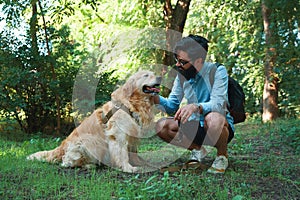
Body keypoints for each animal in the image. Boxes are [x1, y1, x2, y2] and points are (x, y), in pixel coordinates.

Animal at [27, 70, 161, 172]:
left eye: (153, 73)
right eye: (146, 75)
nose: (160, 77)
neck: (133, 104)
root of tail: (62, 146)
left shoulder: (133, 134)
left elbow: (133, 152)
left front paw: (140, 163)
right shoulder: (118, 135)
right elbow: (122, 154)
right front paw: (128, 168)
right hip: (88, 141)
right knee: (67, 162)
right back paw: (89, 165)